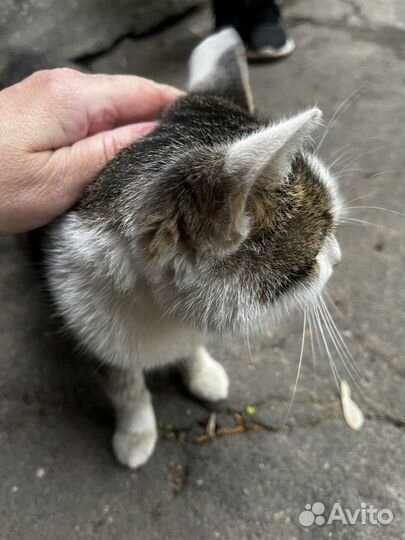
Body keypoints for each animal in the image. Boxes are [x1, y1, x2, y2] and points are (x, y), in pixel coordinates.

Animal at [34, 29, 340, 468]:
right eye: (311, 262)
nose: (338, 258)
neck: (162, 310)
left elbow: (192, 345)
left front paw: (202, 372)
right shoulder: (87, 320)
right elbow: (126, 388)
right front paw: (136, 432)